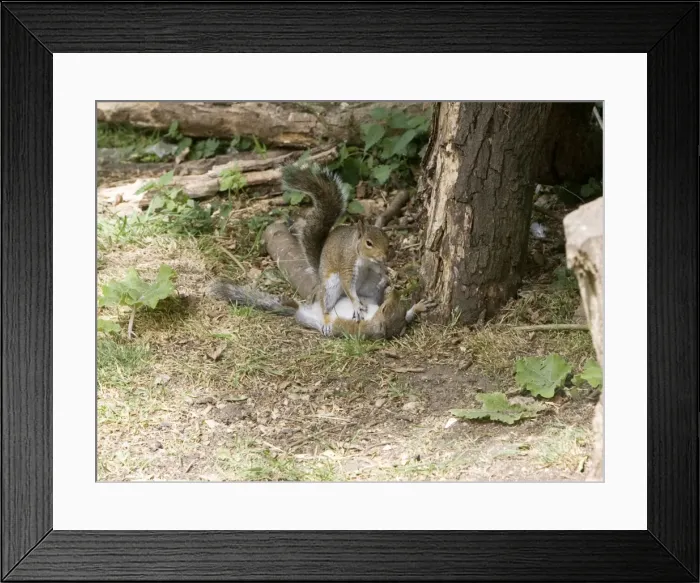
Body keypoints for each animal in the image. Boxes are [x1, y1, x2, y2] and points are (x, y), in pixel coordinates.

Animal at [207, 278, 434, 340]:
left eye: (386, 309)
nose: (396, 290)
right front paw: (419, 306)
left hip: (304, 318)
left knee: (297, 311)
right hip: (317, 303)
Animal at [281, 163, 392, 336]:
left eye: (387, 239)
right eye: (368, 243)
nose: (385, 257)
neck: (363, 258)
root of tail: (319, 275)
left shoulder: (373, 265)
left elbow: (379, 270)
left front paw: (385, 276)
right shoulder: (347, 263)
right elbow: (348, 287)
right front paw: (356, 305)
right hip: (330, 287)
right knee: (325, 306)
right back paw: (327, 321)